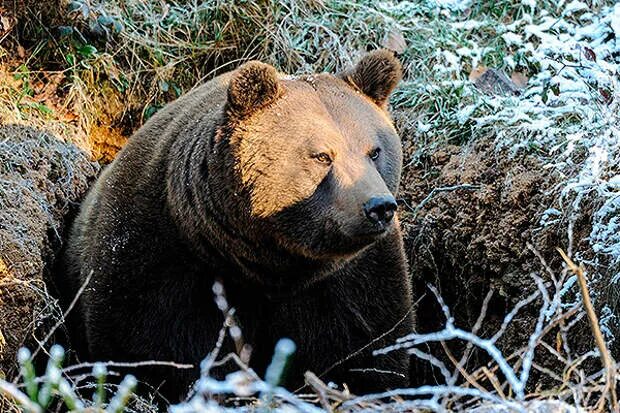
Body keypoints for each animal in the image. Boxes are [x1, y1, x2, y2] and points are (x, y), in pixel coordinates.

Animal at [58, 48, 414, 400]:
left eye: (374, 151)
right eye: (322, 155)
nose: (379, 207)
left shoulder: (351, 281)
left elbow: (367, 348)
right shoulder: (162, 261)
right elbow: (154, 347)